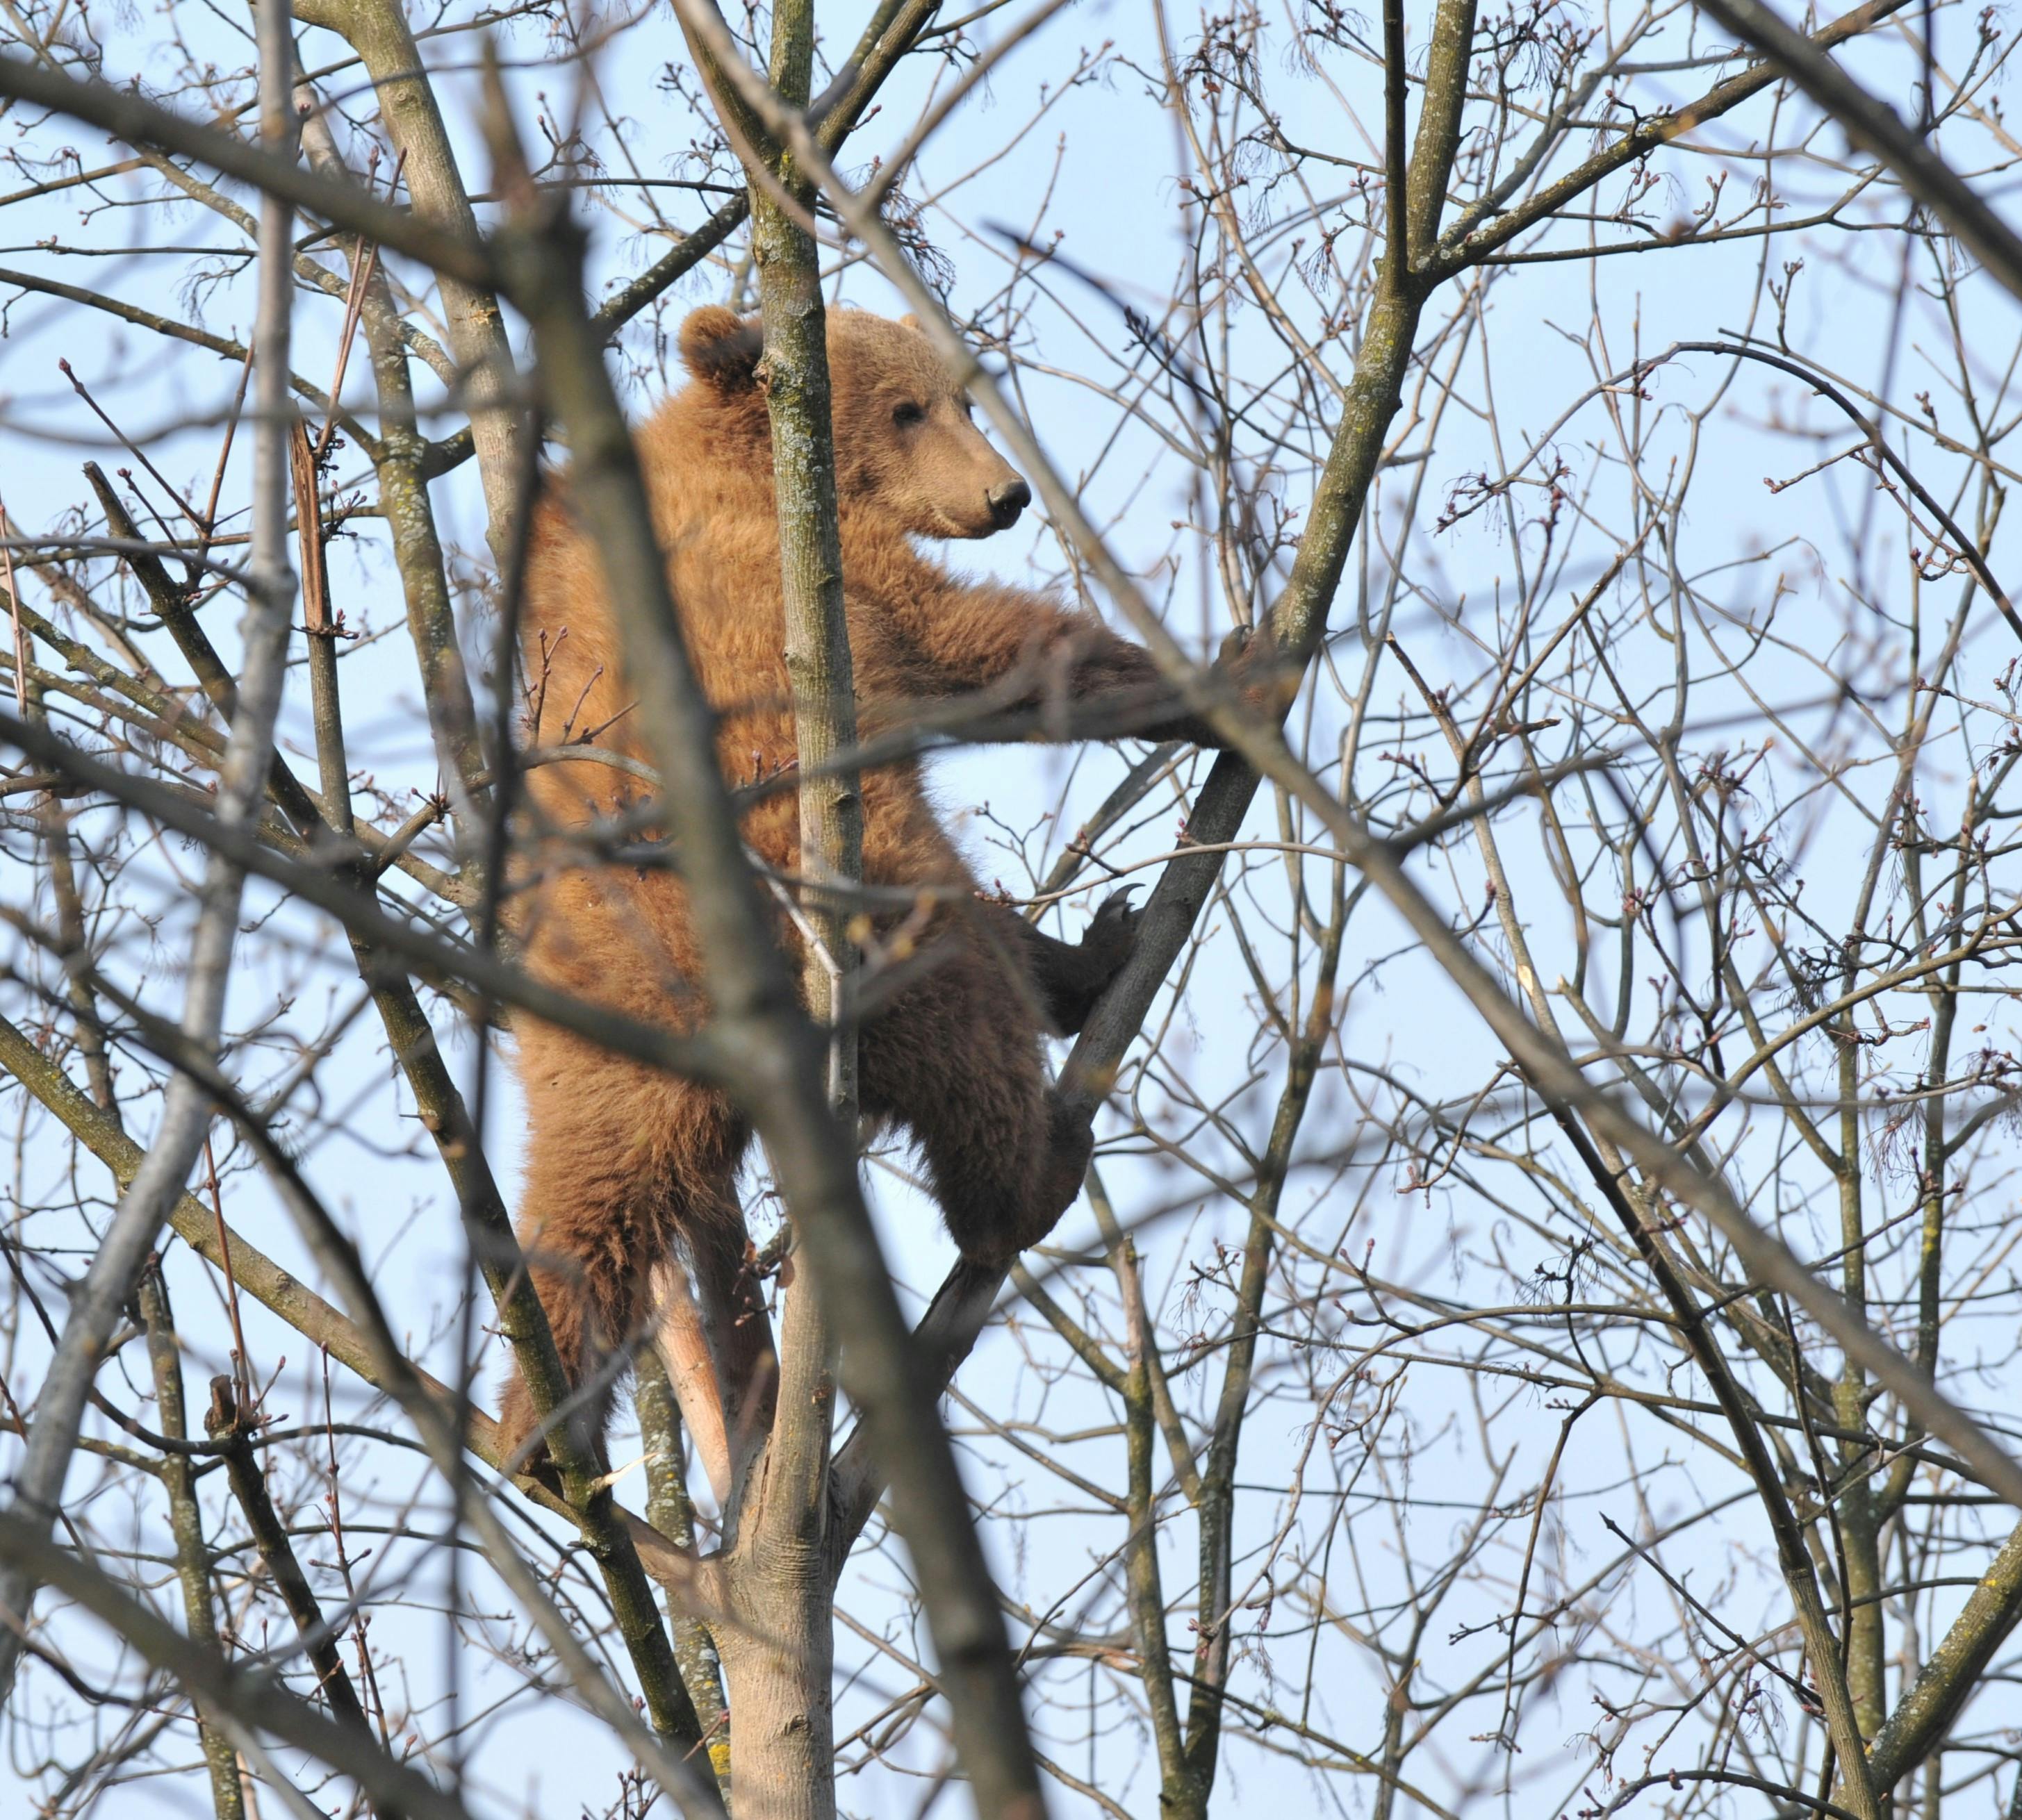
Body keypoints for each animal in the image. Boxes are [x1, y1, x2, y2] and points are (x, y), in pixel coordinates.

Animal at [497, 305, 1237, 1456]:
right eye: (907, 408)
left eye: (966, 396)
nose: (1005, 493)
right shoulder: (837, 591)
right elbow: (994, 648)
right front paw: (1231, 678)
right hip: (865, 912)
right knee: (972, 1024)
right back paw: (1034, 1168)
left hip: (588, 1055)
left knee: (588, 1211)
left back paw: (538, 1428)